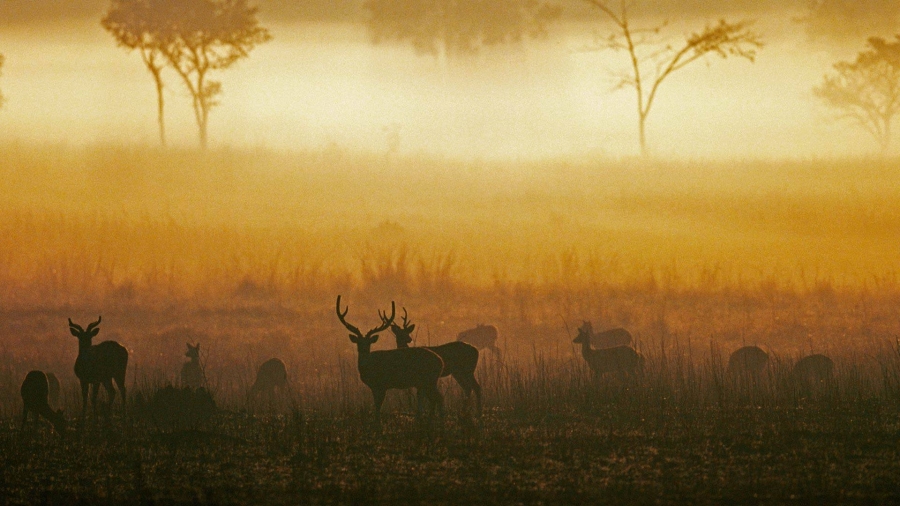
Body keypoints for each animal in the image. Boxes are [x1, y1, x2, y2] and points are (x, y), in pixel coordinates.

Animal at [336, 294, 444, 422]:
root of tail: (440, 361)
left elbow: (378, 407)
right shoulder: (374, 387)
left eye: (368, 342)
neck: (369, 368)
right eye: (358, 342)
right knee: (435, 399)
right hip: (426, 382)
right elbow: (376, 406)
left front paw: (378, 423)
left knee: (439, 398)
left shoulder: (382, 385)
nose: (363, 349)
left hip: (429, 379)